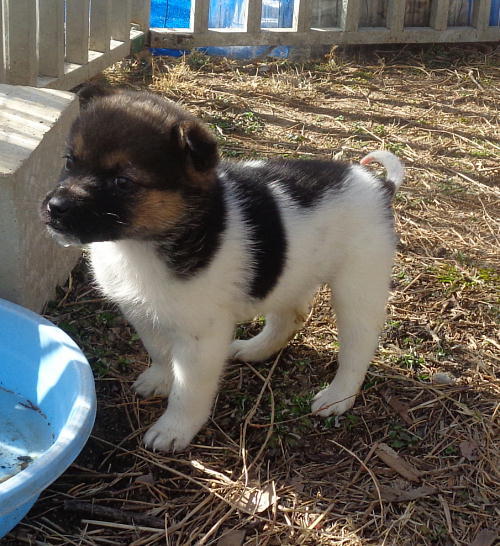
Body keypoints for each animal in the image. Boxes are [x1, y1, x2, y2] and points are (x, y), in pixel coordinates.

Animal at [41, 87, 404, 452]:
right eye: (70, 161)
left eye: (122, 182)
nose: (55, 208)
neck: (143, 243)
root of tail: (378, 186)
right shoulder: (143, 313)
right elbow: (159, 352)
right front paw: (159, 379)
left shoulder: (200, 338)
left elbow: (188, 391)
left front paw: (174, 429)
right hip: (291, 275)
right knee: (290, 317)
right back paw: (254, 349)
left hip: (358, 286)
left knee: (358, 345)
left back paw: (338, 396)